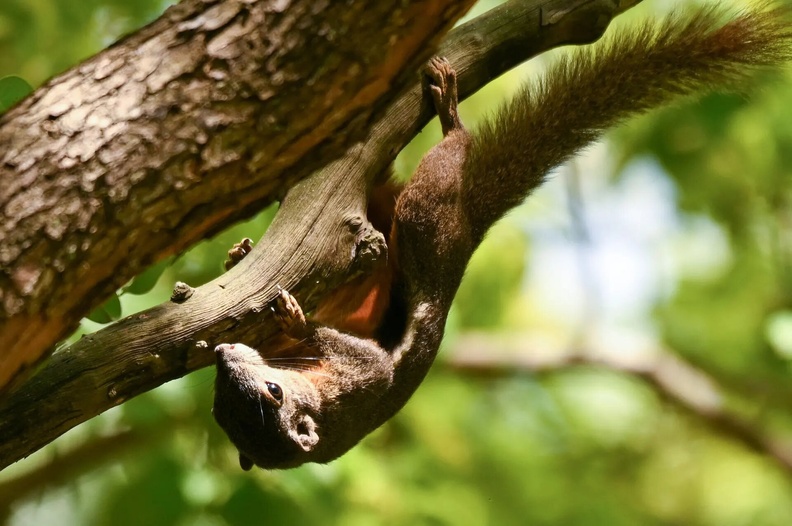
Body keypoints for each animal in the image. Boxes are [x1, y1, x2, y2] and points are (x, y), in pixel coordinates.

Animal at [213, 4, 792, 470]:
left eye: (272, 393)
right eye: (220, 407)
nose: (221, 353)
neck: (324, 404)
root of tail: (469, 227)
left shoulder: (361, 378)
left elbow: (362, 356)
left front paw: (294, 319)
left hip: (422, 218)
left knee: (440, 161)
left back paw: (447, 115)